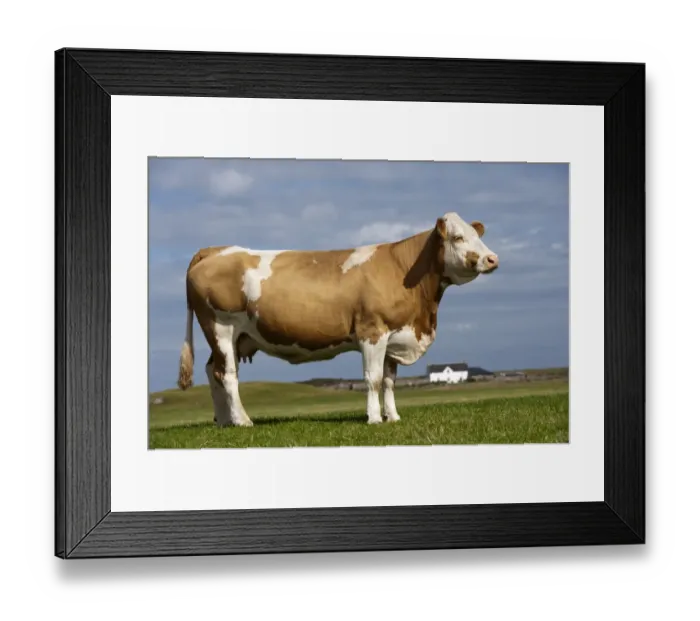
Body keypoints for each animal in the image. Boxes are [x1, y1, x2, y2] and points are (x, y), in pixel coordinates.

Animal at [176, 211, 499, 427]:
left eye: (478, 236)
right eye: (458, 237)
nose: (492, 259)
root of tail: (215, 250)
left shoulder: (395, 335)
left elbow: (390, 381)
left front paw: (393, 416)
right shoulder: (372, 331)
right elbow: (373, 378)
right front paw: (374, 418)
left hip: (234, 337)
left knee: (212, 371)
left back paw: (224, 421)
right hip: (221, 326)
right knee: (228, 375)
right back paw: (243, 420)